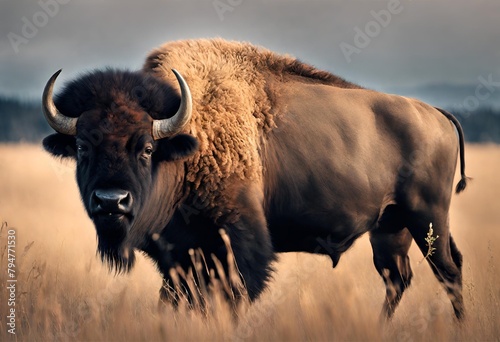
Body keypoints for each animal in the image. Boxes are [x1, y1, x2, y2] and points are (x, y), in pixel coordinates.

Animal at [43, 38, 468, 320]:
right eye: (82, 146)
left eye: (146, 147)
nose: (111, 201)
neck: (189, 137)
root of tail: (436, 113)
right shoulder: (180, 253)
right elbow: (174, 297)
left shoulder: (238, 243)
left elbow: (233, 294)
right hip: (390, 227)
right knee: (398, 278)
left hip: (427, 217)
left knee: (449, 272)